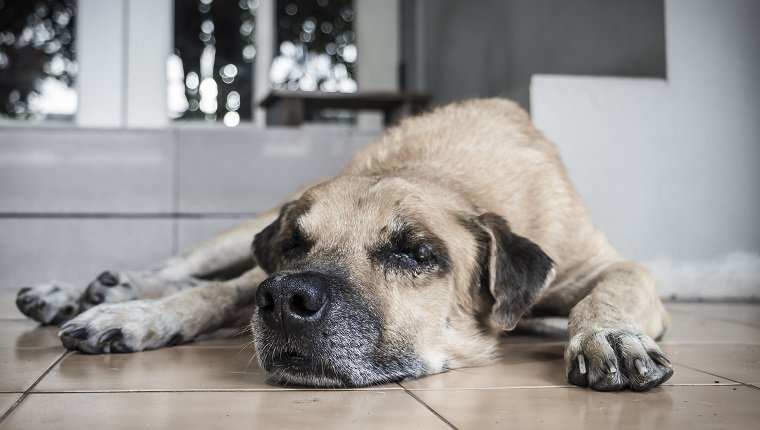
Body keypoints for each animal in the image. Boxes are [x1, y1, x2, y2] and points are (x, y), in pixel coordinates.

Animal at [16, 99, 672, 392]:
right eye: (294, 246)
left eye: (415, 253)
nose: (283, 300)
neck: (444, 175)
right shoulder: (258, 264)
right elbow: (211, 295)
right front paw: (135, 316)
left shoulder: (606, 265)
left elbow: (612, 289)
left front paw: (610, 335)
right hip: (238, 231)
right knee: (185, 267)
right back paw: (93, 290)